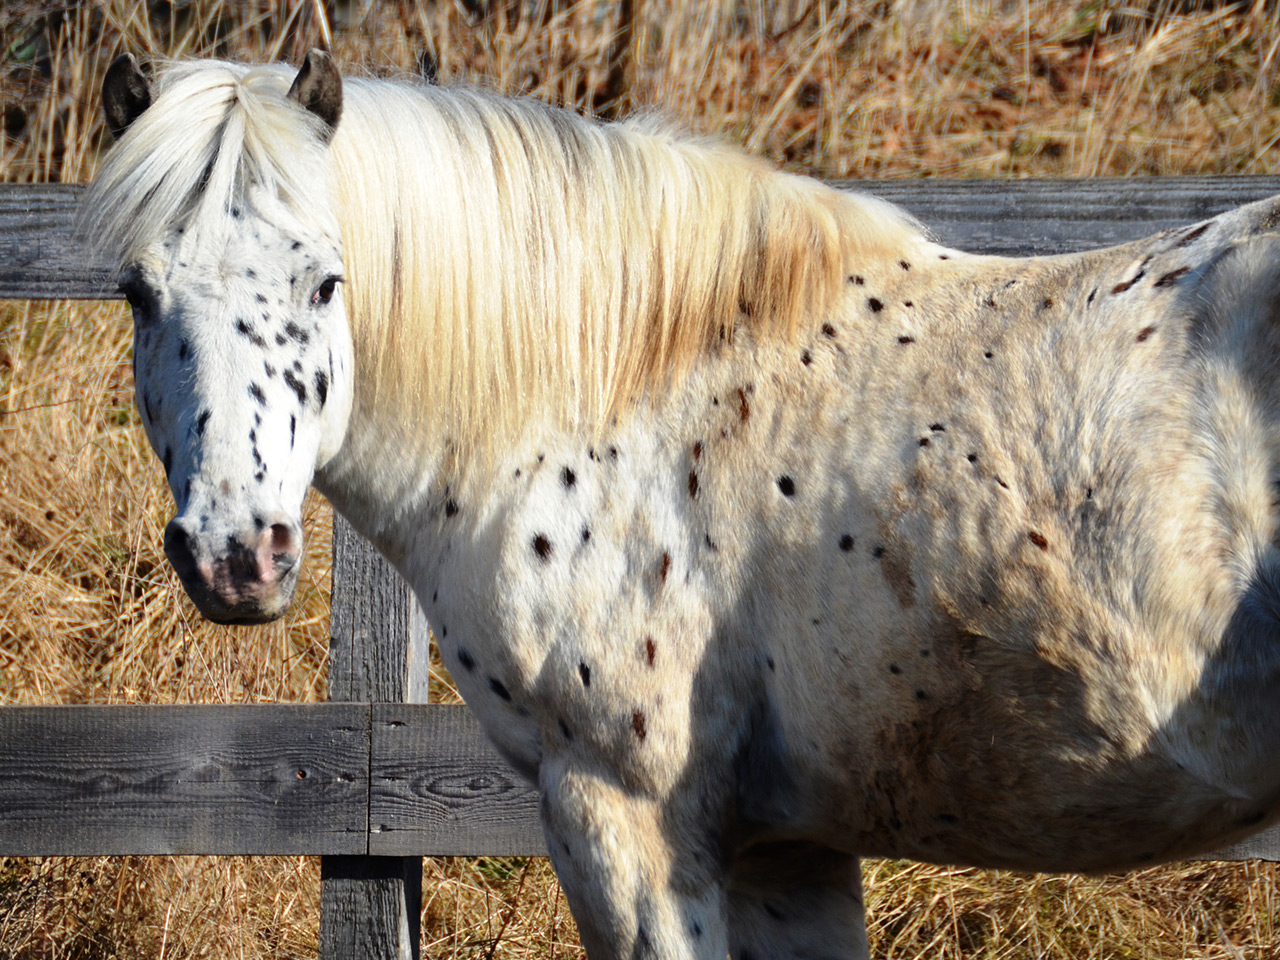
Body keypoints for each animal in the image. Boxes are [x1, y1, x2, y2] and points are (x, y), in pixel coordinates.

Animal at [80, 50, 1280, 959]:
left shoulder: (628, 821)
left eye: (324, 283)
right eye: (137, 294)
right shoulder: (785, 851)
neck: (607, 391)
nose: (237, 553)